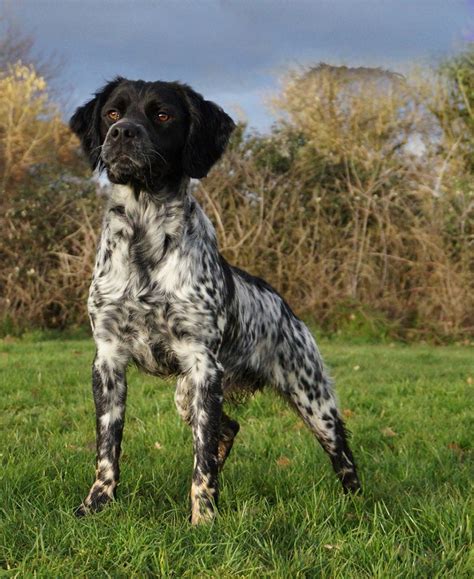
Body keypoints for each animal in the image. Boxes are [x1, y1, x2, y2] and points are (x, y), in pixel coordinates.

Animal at [69, 78, 360, 524]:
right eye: (112, 114)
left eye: (162, 114)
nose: (122, 134)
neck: (144, 236)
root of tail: (284, 304)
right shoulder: (108, 360)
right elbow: (107, 450)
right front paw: (96, 505)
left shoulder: (203, 364)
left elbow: (201, 457)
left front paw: (203, 518)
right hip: (185, 395)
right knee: (228, 428)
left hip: (311, 397)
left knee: (341, 452)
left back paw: (358, 504)